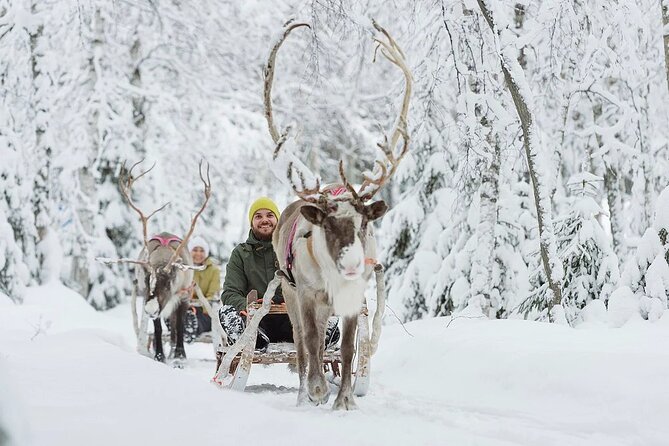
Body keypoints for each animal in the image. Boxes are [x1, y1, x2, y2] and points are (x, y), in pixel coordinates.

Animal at [100, 161, 211, 364]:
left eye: (167, 283)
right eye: (145, 281)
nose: (150, 309)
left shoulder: (184, 296)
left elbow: (180, 326)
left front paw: (180, 356)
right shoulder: (150, 300)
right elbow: (158, 328)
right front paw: (160, 355)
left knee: (175, 327)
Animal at [264, 20, 412, 410]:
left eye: (364, 224)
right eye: (327, 226)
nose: (351, 264)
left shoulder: (354, 299)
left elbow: (346, 349)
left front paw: (345, 399)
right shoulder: (306, 294)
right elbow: (313, 343)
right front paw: (317, 391)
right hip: (288, 292)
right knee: (303, 346)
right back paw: (304, 393)